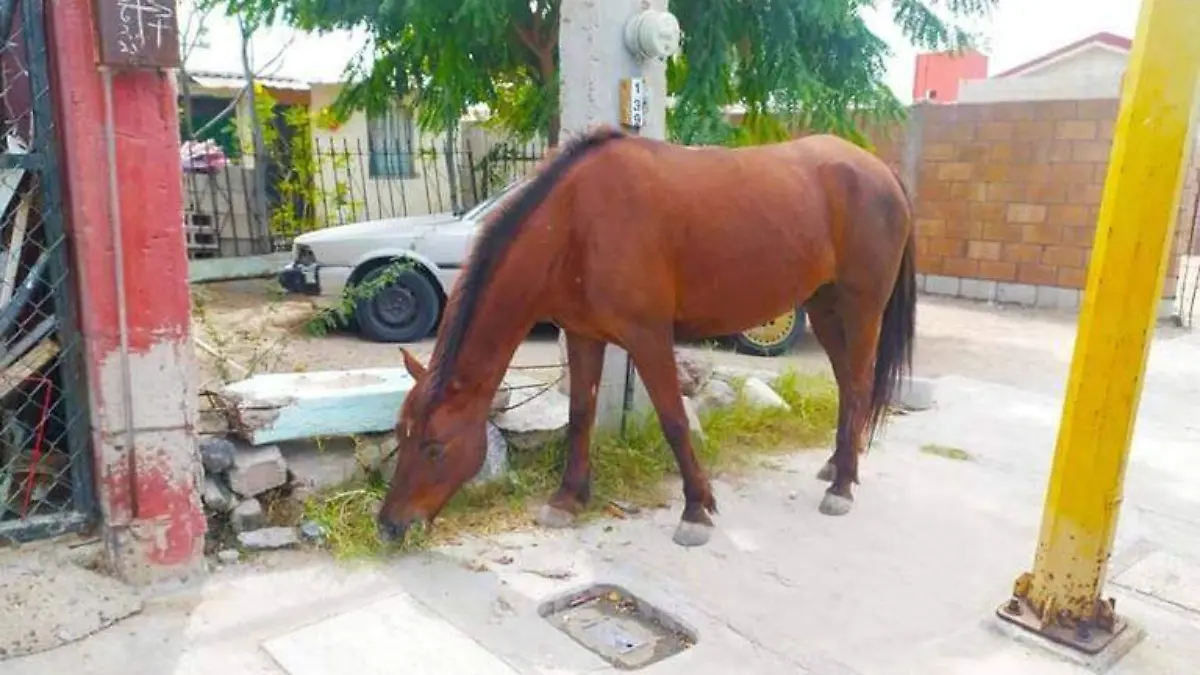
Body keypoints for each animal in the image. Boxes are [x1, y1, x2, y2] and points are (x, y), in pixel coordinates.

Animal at [379, 125, 916, 548]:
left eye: (434, 447)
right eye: (400, 434)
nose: (389, 525)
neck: (576, 222)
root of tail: (882, 171)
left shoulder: (649, 337)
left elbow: (674, 420)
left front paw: (696, 510)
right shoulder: (583, 335)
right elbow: (580, 415)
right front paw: (568, 499)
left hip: (861, 307)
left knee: (859, 385)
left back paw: (841, 486)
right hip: (824, 307)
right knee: (847, 385)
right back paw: (836, 466)